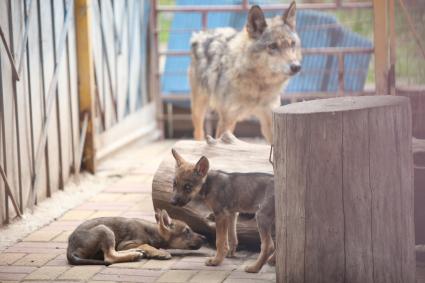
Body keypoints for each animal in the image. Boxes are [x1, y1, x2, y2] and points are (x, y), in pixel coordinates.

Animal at [66, 210, 205, 266]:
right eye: (187, 231)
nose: (205, 238)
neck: (152, 231)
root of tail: (70, 250)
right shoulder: (126, 243)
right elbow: (146, 244)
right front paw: (159, 252)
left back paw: (136, 252)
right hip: (104, 229)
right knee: (110, 256)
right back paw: (134, 255)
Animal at [189, 1, 302, 144]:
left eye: (292, 44)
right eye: (272, 46)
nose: (296, 67)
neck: (258, 87)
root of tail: (204, 33)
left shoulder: (270, 120)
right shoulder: (226, 119)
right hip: (199, 108)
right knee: (198, 132)